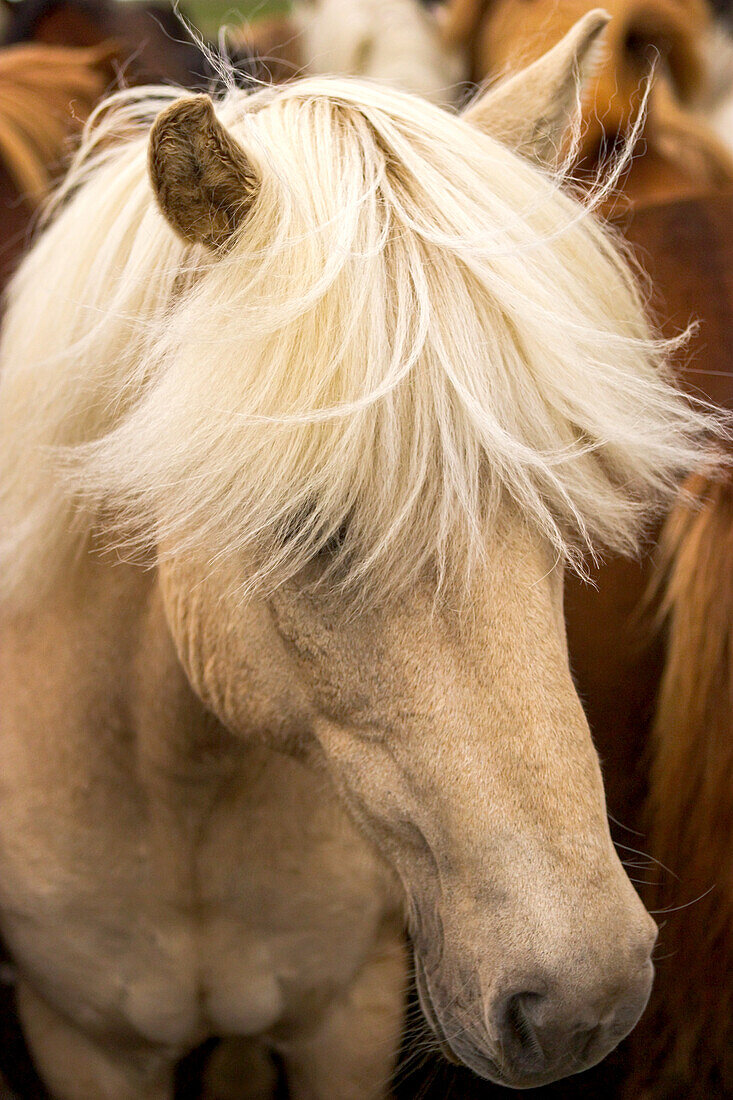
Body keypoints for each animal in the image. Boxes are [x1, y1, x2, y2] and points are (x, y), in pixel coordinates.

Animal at [0, 15, 717, 1100]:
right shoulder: (82, 1042)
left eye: (561, 494)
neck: (180, 790)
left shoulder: (349, 1015)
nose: (581, 1002)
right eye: (308, 522)